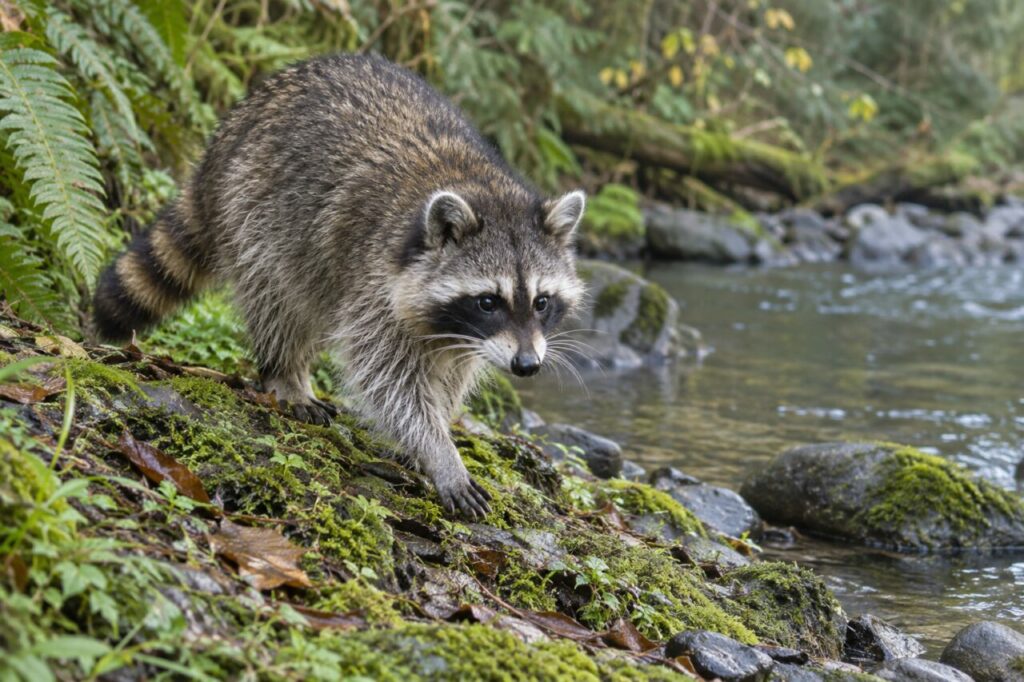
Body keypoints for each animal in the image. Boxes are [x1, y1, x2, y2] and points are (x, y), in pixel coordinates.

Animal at [93, 54, 586, 518]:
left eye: (541, 302)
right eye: (488, 301)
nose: (527, 365)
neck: (481, 186)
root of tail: (229, 133)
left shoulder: (460, 333)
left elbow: (448, 375)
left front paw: (437, 427)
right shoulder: (376, 283)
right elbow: (387, 378)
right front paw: (437, 449)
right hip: (256, 207)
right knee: (278, 296)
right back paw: (285, 371)